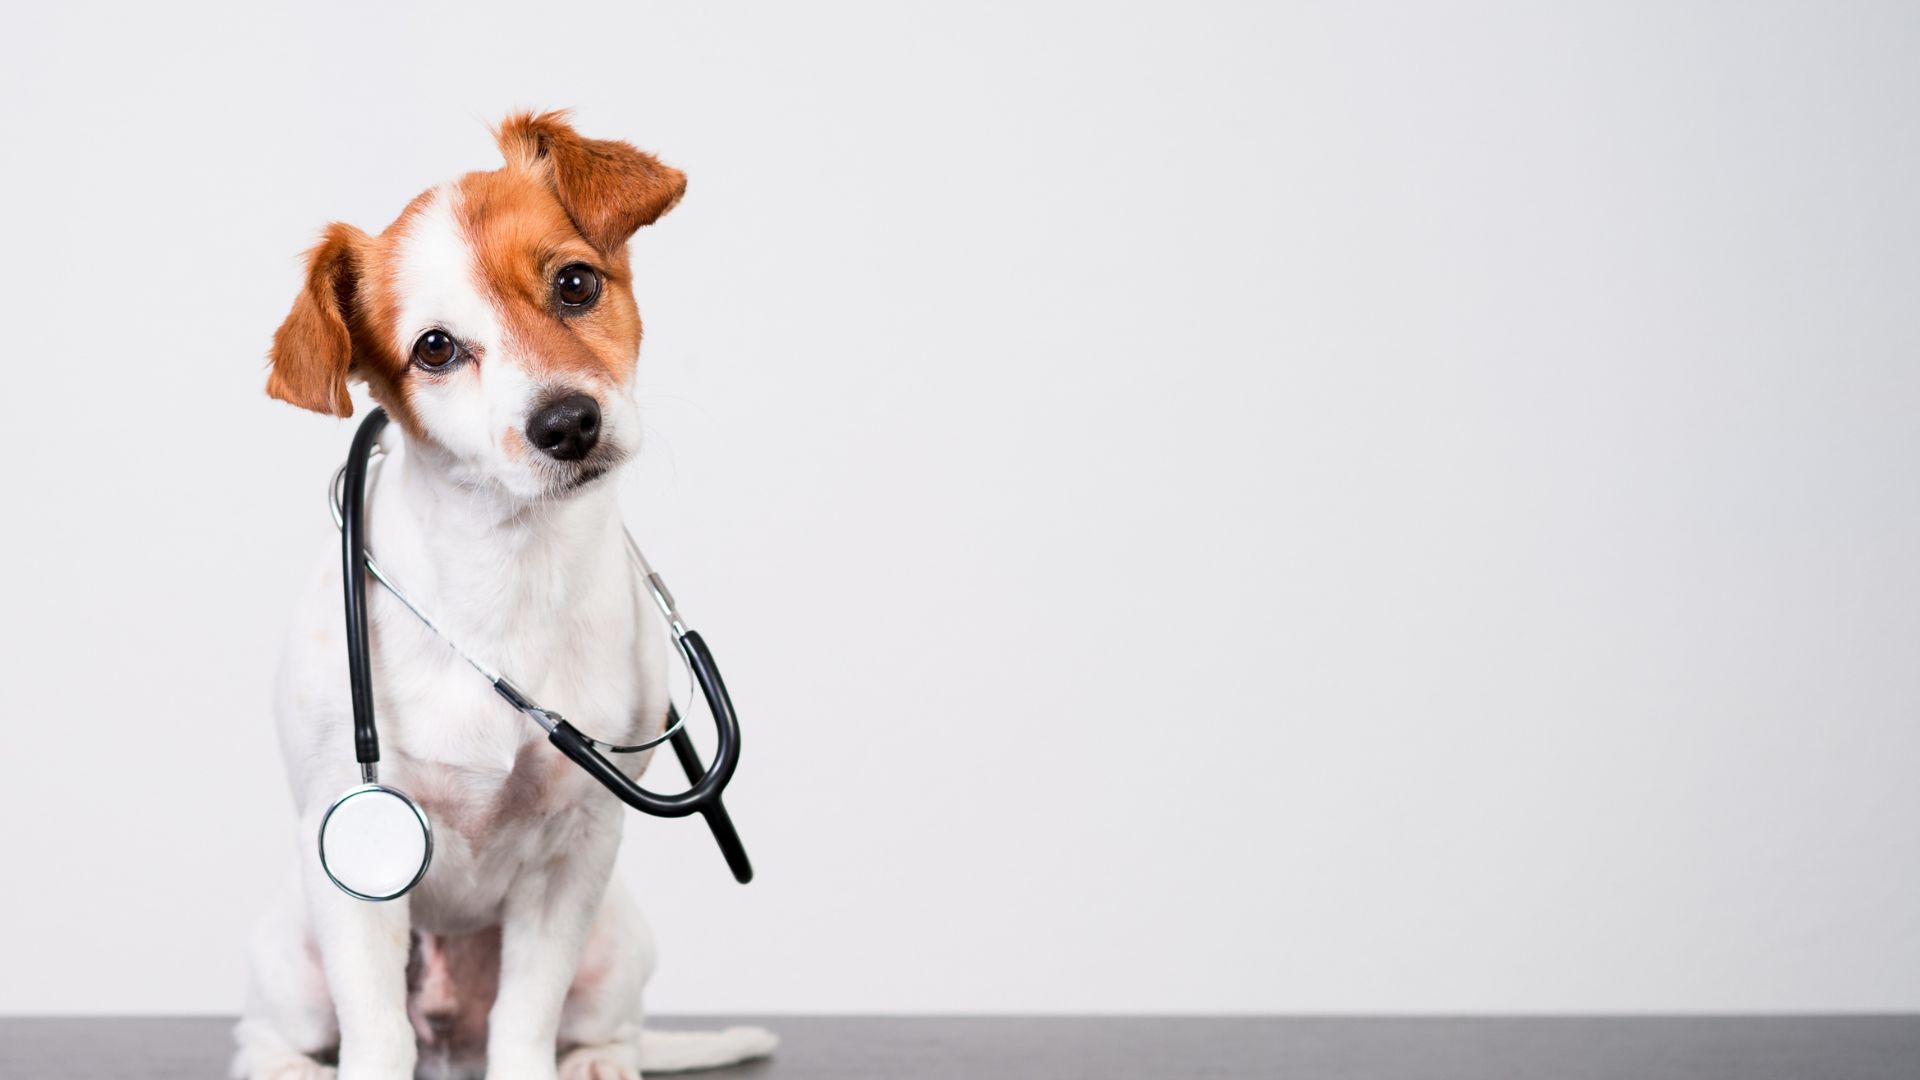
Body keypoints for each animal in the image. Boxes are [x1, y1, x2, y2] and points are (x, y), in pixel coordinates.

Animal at [236, 109, 775, 1076]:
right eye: (435, 349)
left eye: (575, 282)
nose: (566, 423)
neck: (511, 572)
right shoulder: (350, 856)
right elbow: (375, 1031)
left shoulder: (578, 855)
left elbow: (527, 1017)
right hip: (293, 952)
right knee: (275, 1032)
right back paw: (281, 1065)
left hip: (617, 936)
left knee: (592, 1022)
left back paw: (598, 1058)